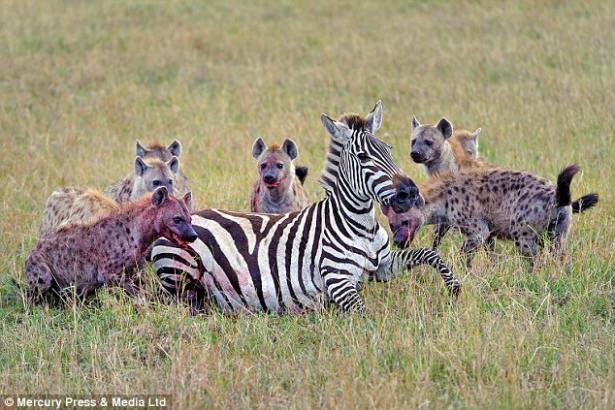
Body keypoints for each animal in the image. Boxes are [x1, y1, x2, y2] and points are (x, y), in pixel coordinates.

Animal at [151, 105, 461, 314]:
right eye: (362, 157)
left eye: (389, 150)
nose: (410, 192)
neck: (359, 224)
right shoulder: (338, 280)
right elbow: (364, 314)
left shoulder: (383, 265)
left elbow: (429, 253)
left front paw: (454, 289)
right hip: (180, 270)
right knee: (180, 301)